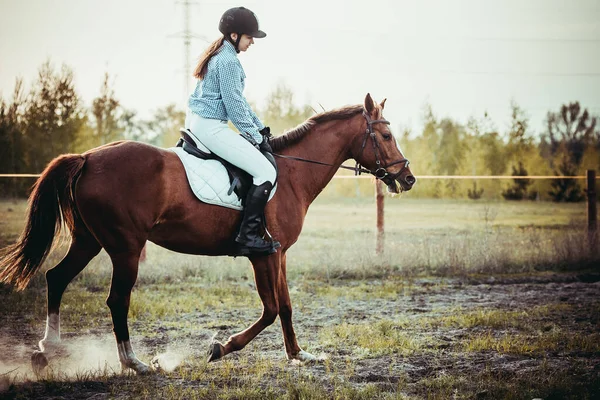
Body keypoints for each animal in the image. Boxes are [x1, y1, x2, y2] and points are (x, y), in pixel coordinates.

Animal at [0, 93, 412, 372]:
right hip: (125, 249)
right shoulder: (263, 254)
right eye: (386, 136)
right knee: (117, 301)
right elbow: (271, 309)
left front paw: (299, 354)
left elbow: (285, 307)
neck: (291, 174)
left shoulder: (278, 253)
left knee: (57, 278)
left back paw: (47, 351)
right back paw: (135, 363)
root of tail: (86, 158)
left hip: (89, 242)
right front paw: (221, 347)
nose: (408, 178)